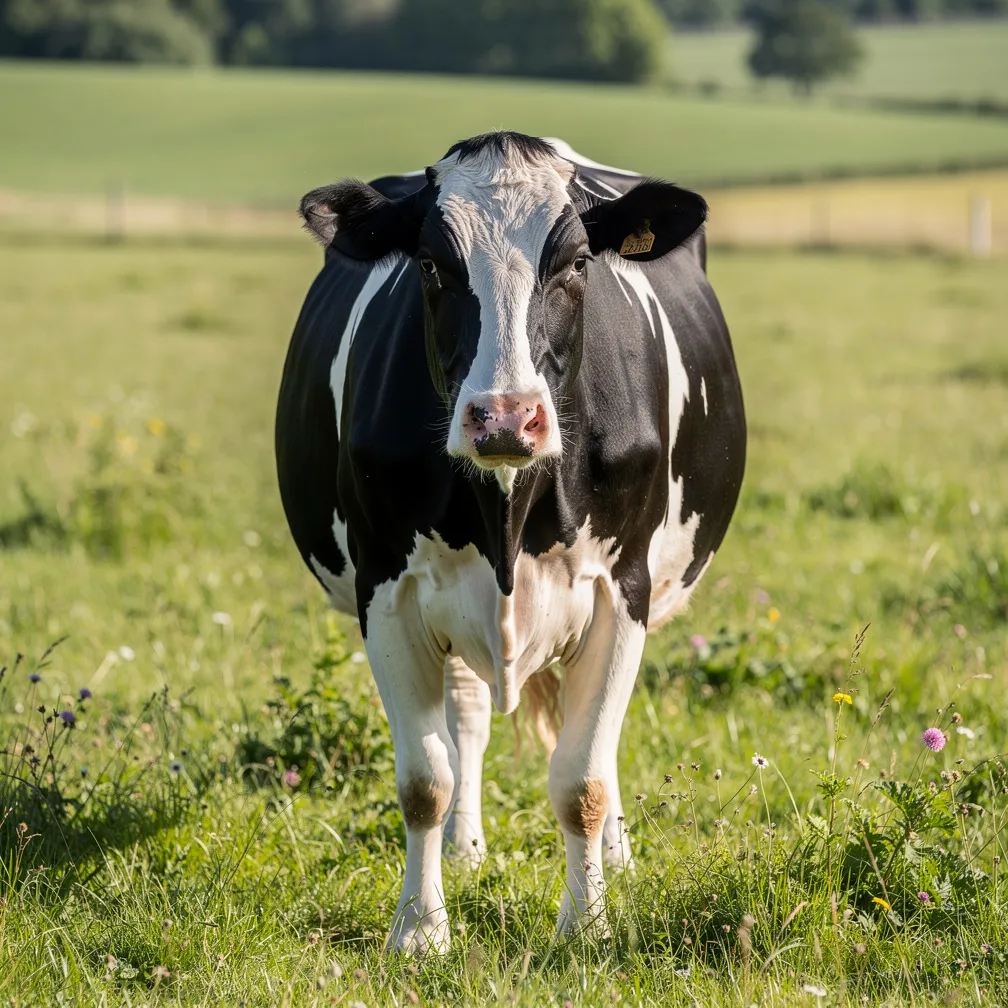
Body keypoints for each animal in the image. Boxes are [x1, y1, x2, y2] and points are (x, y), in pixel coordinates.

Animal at [276, 132, 746, 953]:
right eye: (431, 265)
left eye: (577, 264)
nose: (503, 416)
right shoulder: (386, 593)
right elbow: (423, 780)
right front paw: (420, 932)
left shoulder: (621, 590)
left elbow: (582, 778)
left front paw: (587, 926)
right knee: (465, 718)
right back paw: (466, 848)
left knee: (597, 747)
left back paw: (616, 854)